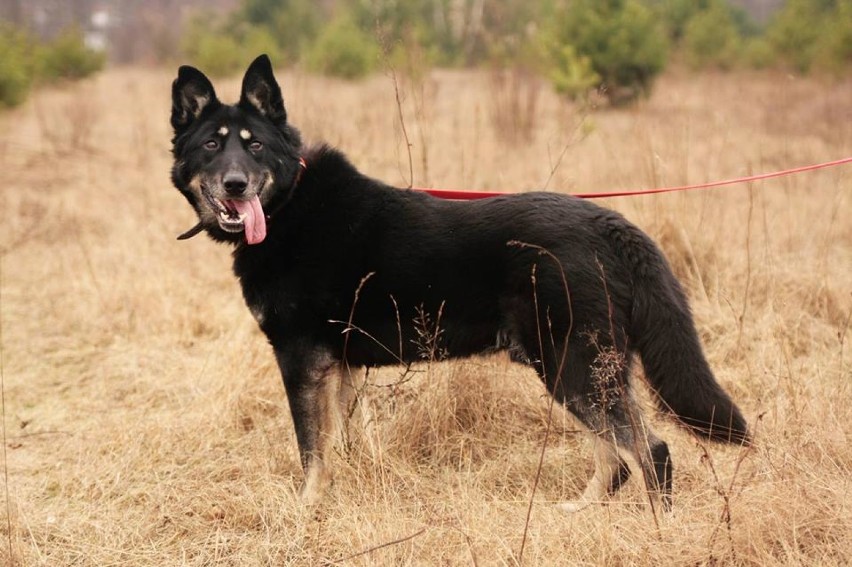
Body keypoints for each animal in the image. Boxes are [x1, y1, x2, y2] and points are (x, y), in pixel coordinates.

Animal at [170, 56, 748, 510]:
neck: (289, 203)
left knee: (650, 452)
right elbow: (342, 444)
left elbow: (311, 450)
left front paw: (306, 510)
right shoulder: (340, 366)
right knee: (618, 457)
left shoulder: (300, 359)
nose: (236, 185)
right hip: (580, 368)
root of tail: (611, 224)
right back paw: (579, 512)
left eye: (255, 147)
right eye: (211, 146)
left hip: (573, 365)